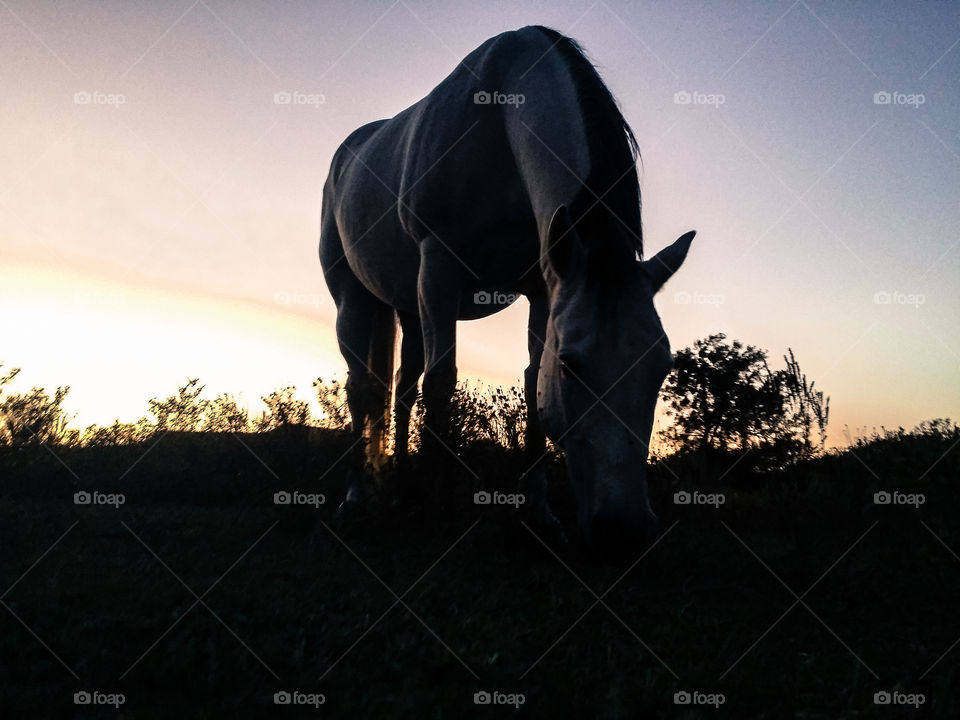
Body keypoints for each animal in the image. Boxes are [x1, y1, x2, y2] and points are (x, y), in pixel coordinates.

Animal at [319, 25, 694, 560]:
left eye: (662, 366)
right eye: (572, 366)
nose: (623, 532)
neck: (499, 117)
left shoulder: (544, 287)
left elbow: (531, 383)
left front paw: (539, 514)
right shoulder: (439, 266)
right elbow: (443, 382)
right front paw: (439, 513)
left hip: (407, 309)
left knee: (401, 388)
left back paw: (400, 491)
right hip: (354, 298)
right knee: (363, 388)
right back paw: (358, 498)